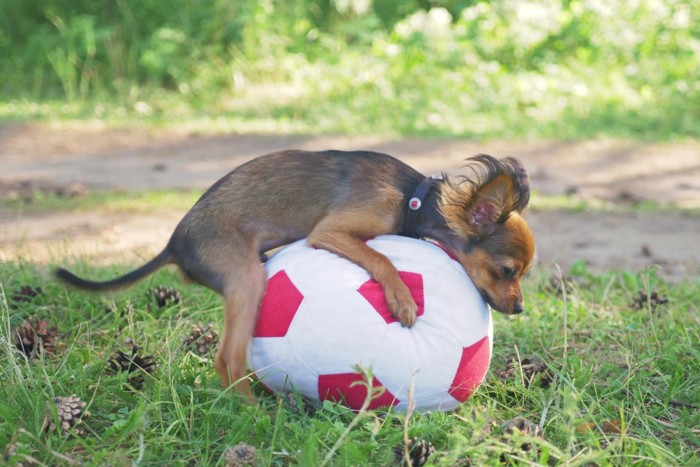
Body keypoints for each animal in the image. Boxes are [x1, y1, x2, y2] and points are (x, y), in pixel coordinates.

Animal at [56, 152, 536, 400]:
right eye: (506, 271)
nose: (519, 308)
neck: (413, 201)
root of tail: (175, 244)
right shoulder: (330, 232)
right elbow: (379, 258)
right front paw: (401, 297)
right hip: (247, 278)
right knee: (227, 359)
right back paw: (252, 411)